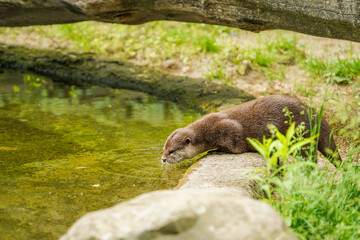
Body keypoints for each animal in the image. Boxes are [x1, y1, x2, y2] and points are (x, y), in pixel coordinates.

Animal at [162, 94, 342, 164]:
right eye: (164, 149)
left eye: (172, 151)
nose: (163, 159)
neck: (207, 131)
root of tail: (314, 114)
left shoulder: (228, 129)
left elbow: (237, 146)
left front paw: (216, 151)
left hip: (302, 136)